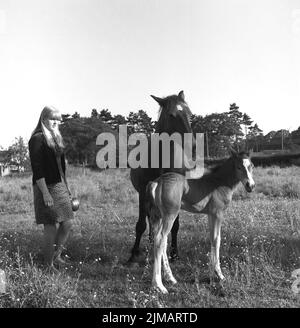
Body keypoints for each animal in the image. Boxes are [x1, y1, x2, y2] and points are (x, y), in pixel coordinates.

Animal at [128, 90, 195, 264]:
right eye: (171, 115)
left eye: (189, 113)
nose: (192, 145)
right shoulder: (142, 193)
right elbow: (140, 225)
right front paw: (133, 255)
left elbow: (175, 225)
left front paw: (174, 253)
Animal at [146, 150, 254, 294]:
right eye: (238, 167)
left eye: (251, 166)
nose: (250, 185)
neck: (218, 182)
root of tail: (157, 182)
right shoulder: (218, 214)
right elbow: (217, 239)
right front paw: (220, 275)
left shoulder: (210, 214)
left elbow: (212, 238)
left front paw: (212, 272)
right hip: (170, 215)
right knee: (159, 239)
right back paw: (159, 285)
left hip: (157, 216)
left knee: (162, 241)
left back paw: (171, 278)